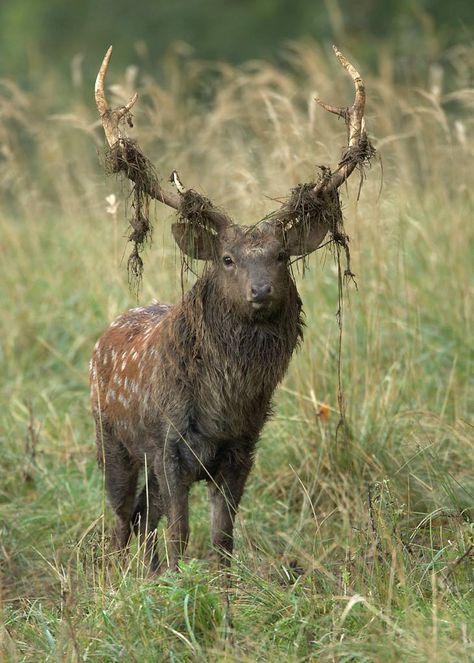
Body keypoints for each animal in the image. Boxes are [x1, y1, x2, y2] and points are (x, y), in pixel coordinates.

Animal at [90, 45, 370, 572]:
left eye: (281, 256)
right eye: (227, 258)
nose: (261, 291)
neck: (225, 407)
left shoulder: (242, 448)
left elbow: (223, 539)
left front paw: (216, 587)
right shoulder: (168, 444)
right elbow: (180, 533)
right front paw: (176, 583)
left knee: (142, 517)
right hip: (110, 437)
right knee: (120, 518)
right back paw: (118, 575)